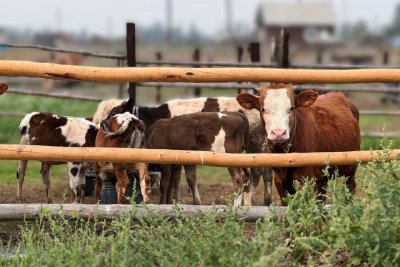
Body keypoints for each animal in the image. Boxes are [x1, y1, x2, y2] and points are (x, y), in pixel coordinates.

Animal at [93, 97, 274, 206]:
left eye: (113, 112)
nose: (100, 125)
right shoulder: (181, 161)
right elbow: (184, 181)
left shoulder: (167, 163)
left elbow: (167, 184)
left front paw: (165, 203)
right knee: (256, 174)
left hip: (238, 154)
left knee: (245, 176)